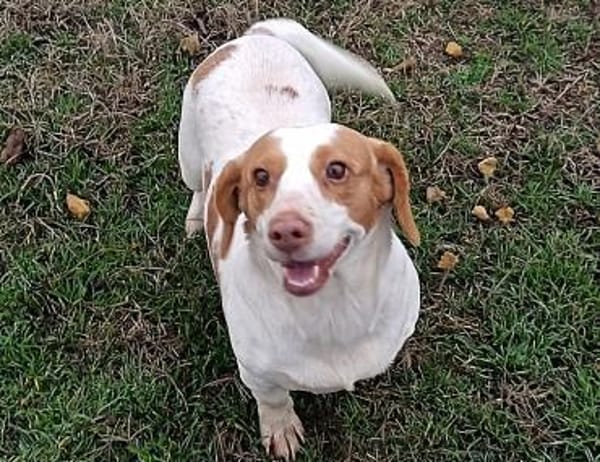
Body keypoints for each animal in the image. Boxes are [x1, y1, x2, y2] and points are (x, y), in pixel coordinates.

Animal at [178, 18, 421, 460]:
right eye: (259, 177)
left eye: (337, 170)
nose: (285, 230)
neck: (333, 310)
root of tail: (255, 36)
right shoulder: (257, 371)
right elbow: (274, 399)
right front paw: (281, 430)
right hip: (187, 155)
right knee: (199, 187)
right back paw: (195, 216)